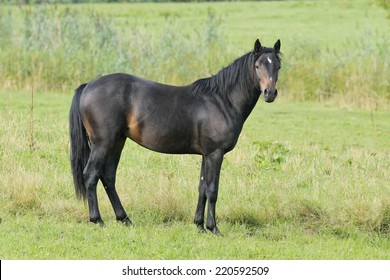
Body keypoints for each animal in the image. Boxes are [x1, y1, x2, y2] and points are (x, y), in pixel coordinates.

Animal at [70, 38, 282, 235]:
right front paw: (213, 228)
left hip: (117, 142)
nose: (270, 93)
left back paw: (125, 219)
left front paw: (199, 226)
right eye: (257, 66)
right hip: (102, 144)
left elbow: (202, 188)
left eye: (278, 66)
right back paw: (98, 220)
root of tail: (88, 85)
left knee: (108, 177)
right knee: (91, 175)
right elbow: (212, 190)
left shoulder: (206, 155)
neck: (222, 101)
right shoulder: (215, 153)